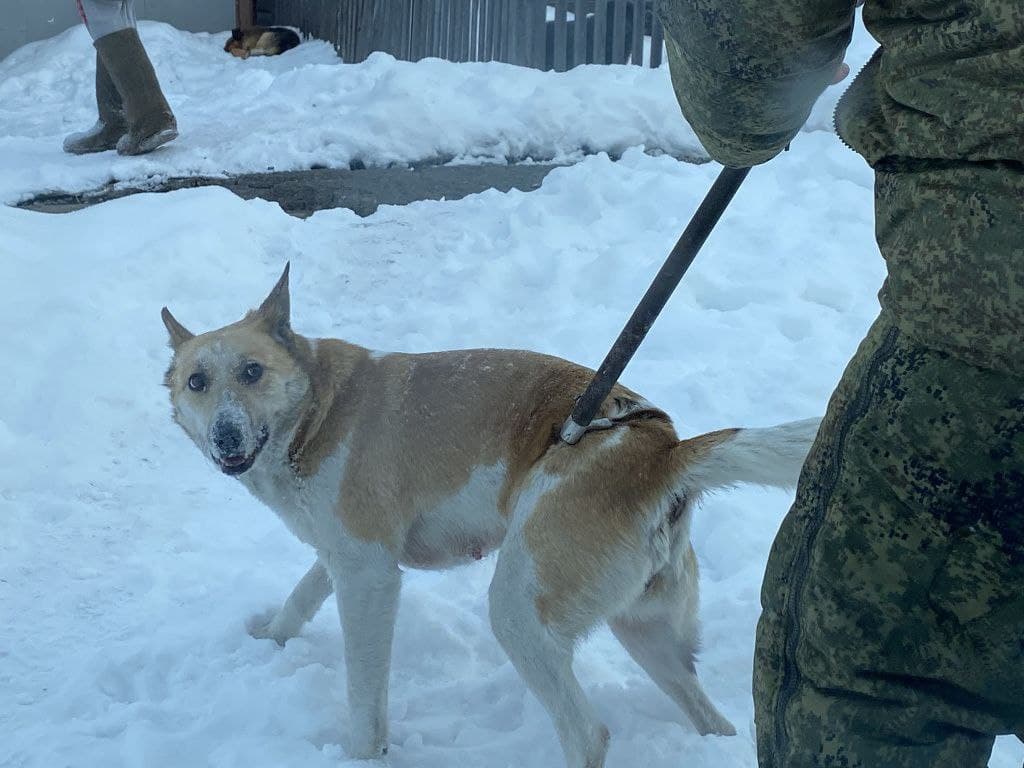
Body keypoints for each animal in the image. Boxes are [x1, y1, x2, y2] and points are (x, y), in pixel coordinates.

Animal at [161, 266, 823, 768]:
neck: (316, 412)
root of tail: (662, 450)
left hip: (518, 612)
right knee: (712, 719)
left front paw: (362, 757)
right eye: (197, 382)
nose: (225, 437)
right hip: (646, 629)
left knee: (589, 735)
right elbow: (302, 594)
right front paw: (270, 637)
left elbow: (365, 696)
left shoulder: (369, 576)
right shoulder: (347, 556)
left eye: (252, 372)